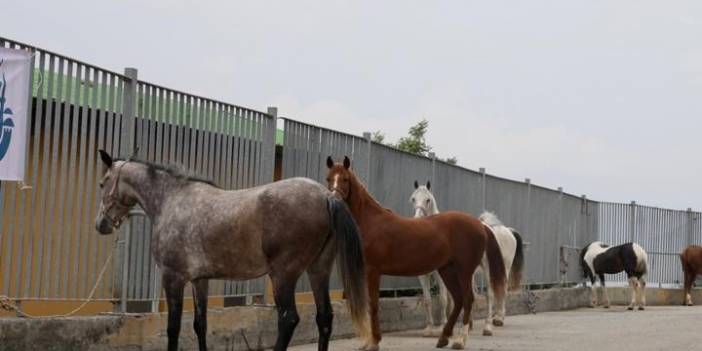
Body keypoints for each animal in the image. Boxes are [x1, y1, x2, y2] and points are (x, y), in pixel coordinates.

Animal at [93, 151, 368, 351]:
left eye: (102, 183)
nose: (100, 224)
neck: (173, 200)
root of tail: (326, 196)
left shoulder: (173, 278)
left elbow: (173, 329)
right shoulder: (199, 280)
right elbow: (200, 325)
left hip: (283, 275)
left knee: (288, 319)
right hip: (318, 270)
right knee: (325, 318)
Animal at [326, 157, 506, 351]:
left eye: (345, 179)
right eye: (328, 178)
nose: (334, 200)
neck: (371, 221)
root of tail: (480, 225)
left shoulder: (373, 271)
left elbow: (373, 305)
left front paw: (374, 342)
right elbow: (368, 305)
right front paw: (368, 342)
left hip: (464, 271)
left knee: (467, 299)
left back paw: (460, 340)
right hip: (447, 271)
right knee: (458, 300)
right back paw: (443, 338)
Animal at [410, 183, 524, 336]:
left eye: (428, 200)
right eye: (413, 199)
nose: (417, 219)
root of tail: (508, 230)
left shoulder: (441, 275)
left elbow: (443, 298)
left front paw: (442, 326)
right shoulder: (424, 275)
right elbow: (429, 300)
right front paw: (429, 328)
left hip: (501, 268)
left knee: (499, 291)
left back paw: (497, 320)